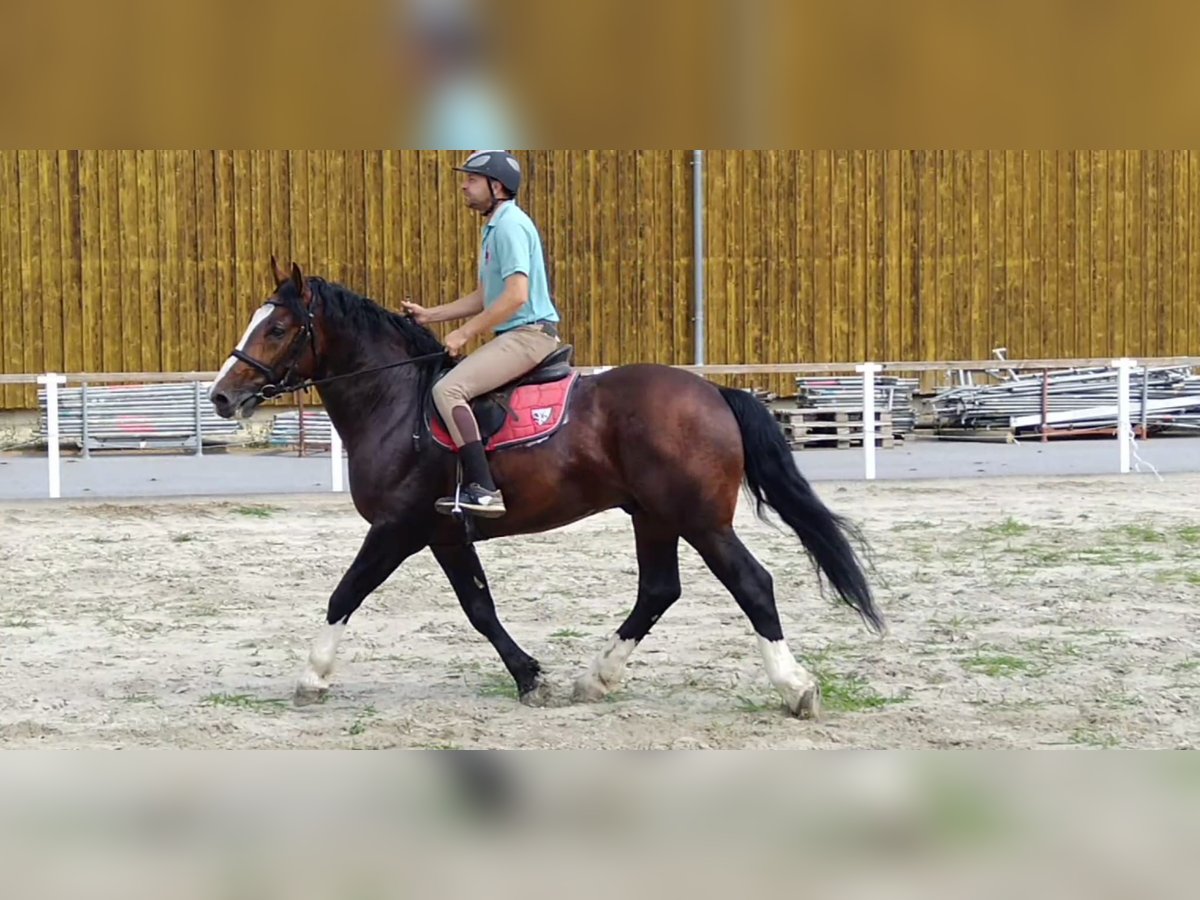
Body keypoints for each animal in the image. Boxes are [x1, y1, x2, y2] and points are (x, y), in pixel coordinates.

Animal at [206, 259, 888, 720]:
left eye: (278, 328)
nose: (221, 397)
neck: (397, 402)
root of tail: (713, 391)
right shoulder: (445, 533)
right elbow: (479, 608)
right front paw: (531, 677)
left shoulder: (398, 528)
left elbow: (345, 593)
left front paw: (312, 676)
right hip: (653, 516)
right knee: (658, 590)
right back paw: (599, 678)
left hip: (700, 520)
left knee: (752, 585)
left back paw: (795, 687)